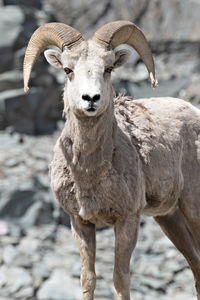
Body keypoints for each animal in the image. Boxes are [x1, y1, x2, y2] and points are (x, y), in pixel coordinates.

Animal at [23, 21, 200, 300]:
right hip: (170, 218)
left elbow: (120, 279)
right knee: (196, 266)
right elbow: (88, 279)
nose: (91, 99)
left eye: (108, 69)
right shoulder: (81, 223)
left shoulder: (127, 220)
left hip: (193, 207)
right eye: (68, 70)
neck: (89, 173)